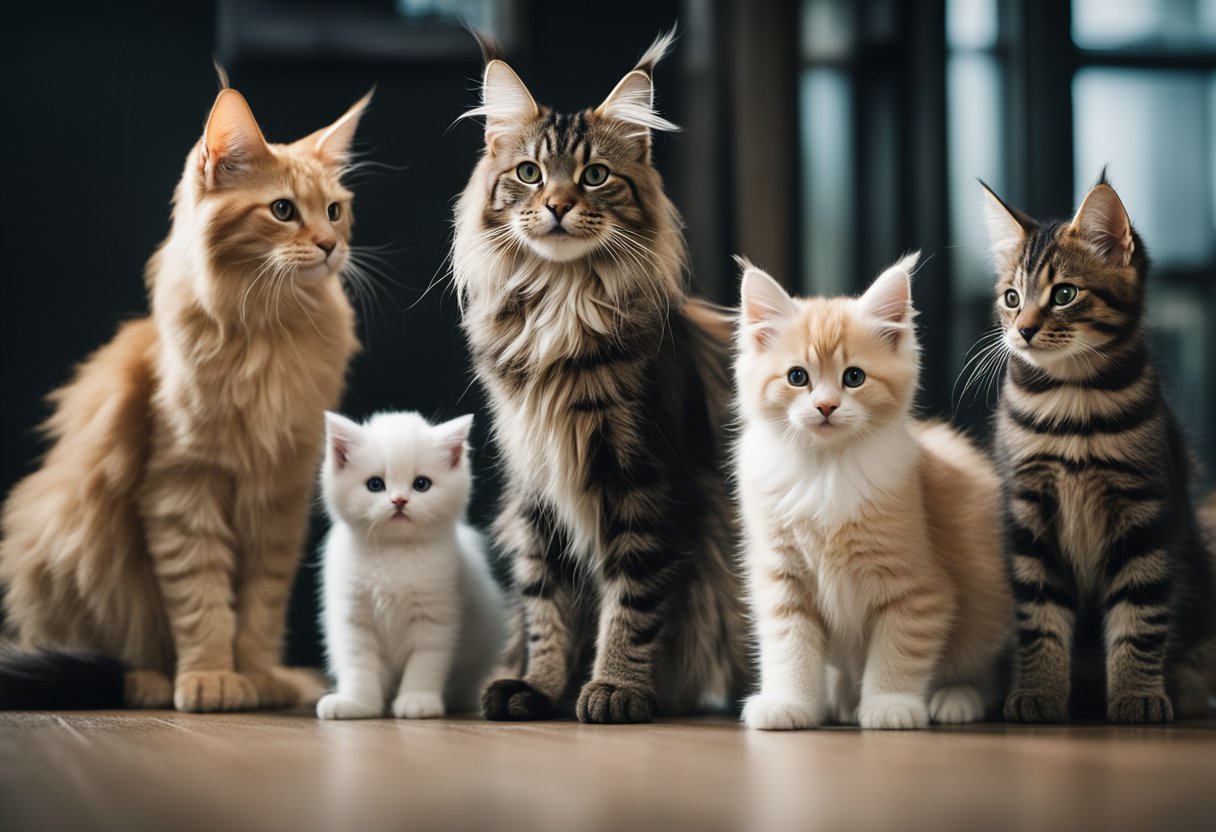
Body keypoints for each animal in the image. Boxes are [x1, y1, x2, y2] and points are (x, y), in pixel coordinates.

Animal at [0, 81, 367, 710]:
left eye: (335, 211)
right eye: (283, 210)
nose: (328, 246)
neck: (269, 335)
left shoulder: (281, 496)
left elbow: (262, 606)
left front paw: (257, 676)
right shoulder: (181, 485)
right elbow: (201, 601)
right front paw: (210, 678)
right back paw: (151, 681)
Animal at [316, 408, 505, 715]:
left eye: (421, 484)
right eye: (375, 484)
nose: (399, 500)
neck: (395, 551)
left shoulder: (436, 615)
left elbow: (425, 661)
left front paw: (418, 700)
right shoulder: (354, 618)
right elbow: (359, 664)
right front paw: (358, 702)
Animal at [449, 30, 749, 720]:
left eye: (595, 175)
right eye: (529, 174)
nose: (558, 206)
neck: (560, 305)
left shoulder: (648, 485)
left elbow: (632, 603)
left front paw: (615, 688)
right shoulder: (536, 488)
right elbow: (546, 608)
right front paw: (539, 687)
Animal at [977, 175, 1216, 720]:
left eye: (1064, 294)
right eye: (1012, 297)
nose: (1022, 330)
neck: (1073, 401)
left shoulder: (1146, 511)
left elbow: (1141, 615)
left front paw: (1136, 694)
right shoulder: (1028, 511)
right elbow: (1038, 614)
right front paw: (1040, 690)